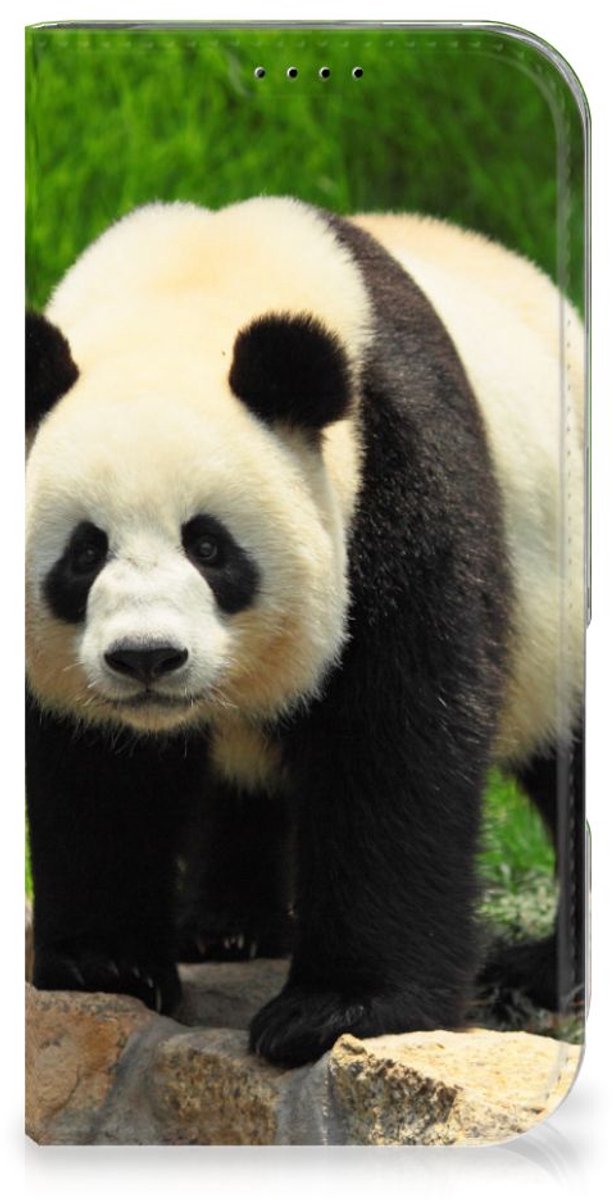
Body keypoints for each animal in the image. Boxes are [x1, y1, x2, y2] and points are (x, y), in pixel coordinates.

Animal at [25, 197, 585, 1066]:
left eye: (209, 546)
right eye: (84, 553)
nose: (147, 658)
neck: (192, 287)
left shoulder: (396, 473)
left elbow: (392, 739)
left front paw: (337, 1009)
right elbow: (95, 769)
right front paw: (104, 964)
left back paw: (541, 972)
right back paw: (226, 926)